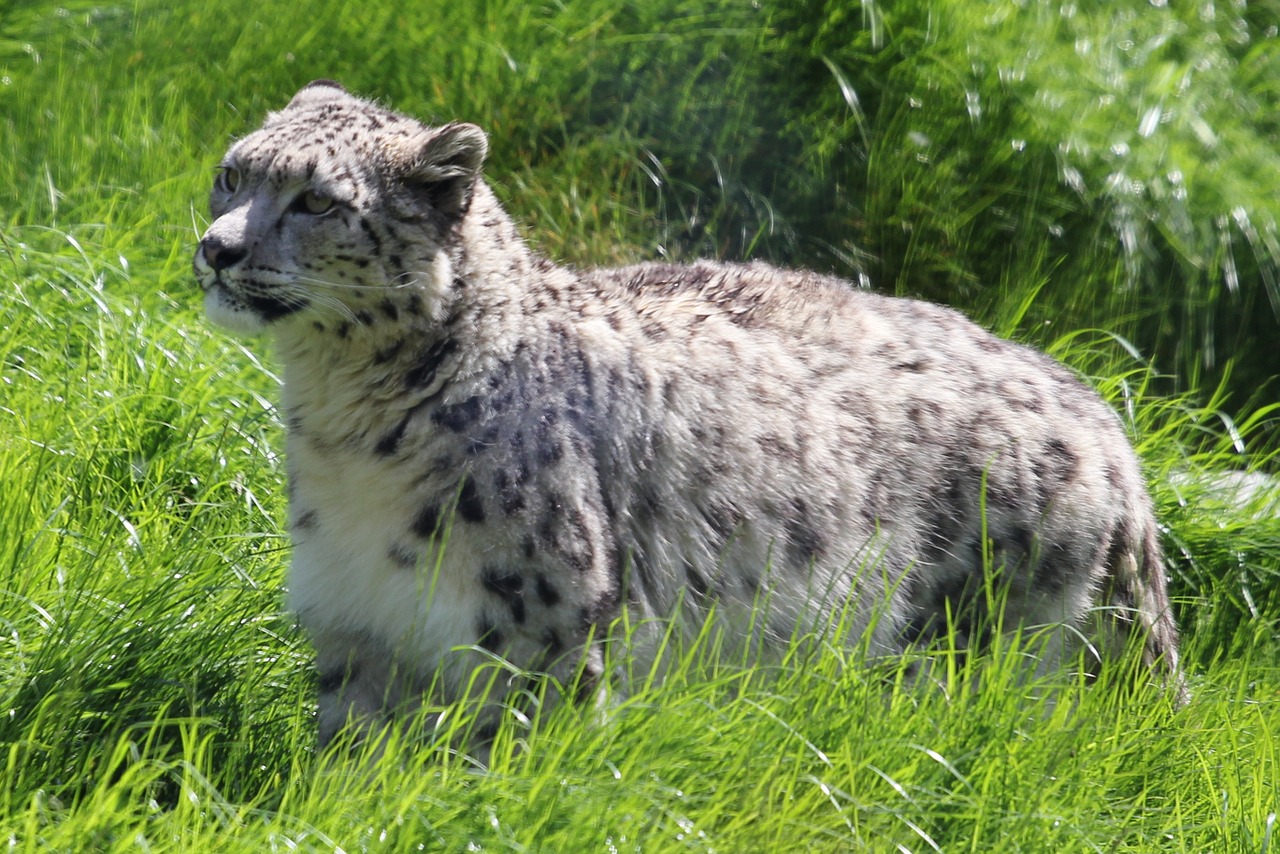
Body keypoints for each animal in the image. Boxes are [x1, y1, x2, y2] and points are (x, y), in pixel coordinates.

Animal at [194, 80, 1182, 747]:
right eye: (232, 175)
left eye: (319, 200)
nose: (215, 248)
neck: (345, 432)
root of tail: (1104, 420)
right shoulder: (357, 625)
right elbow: (351, 763)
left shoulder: (537, 636)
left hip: (991, 638)